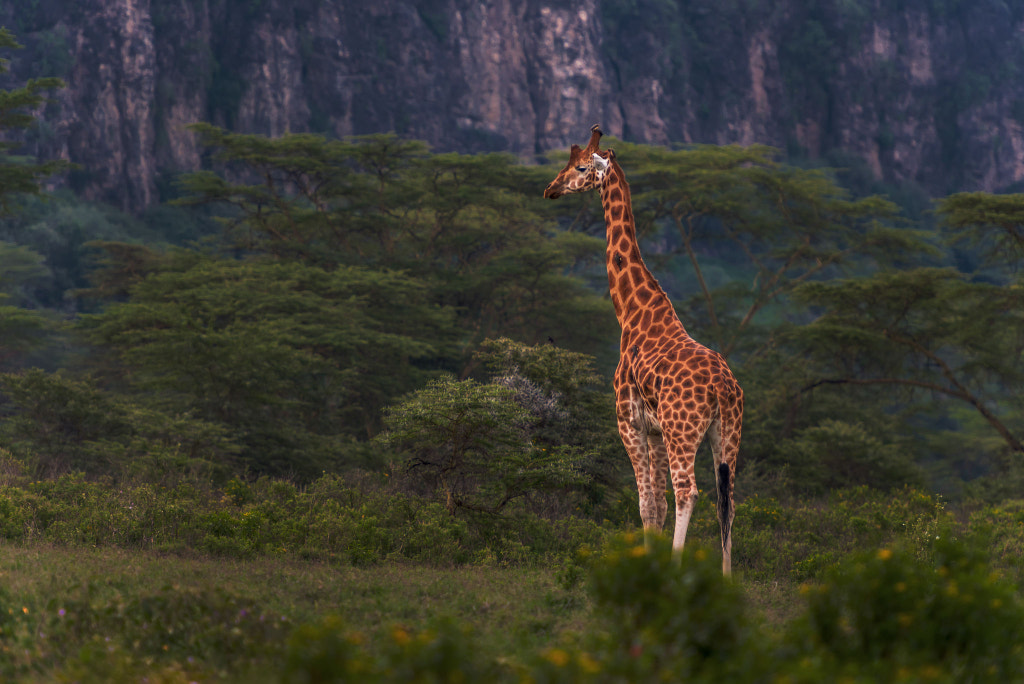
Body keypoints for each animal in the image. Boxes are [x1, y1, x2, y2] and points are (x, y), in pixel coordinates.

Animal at [544, 125, 745, 573]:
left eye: (580, 167)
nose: (550, 189)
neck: (632, 311)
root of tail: (723, 388)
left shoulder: (629, 422)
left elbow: (646, 503)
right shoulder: (653, 430)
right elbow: (656, 505)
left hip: (683, 431)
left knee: (689, 491)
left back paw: (679, 568)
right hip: (727, 434)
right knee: (726, 501)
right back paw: (727, 579)